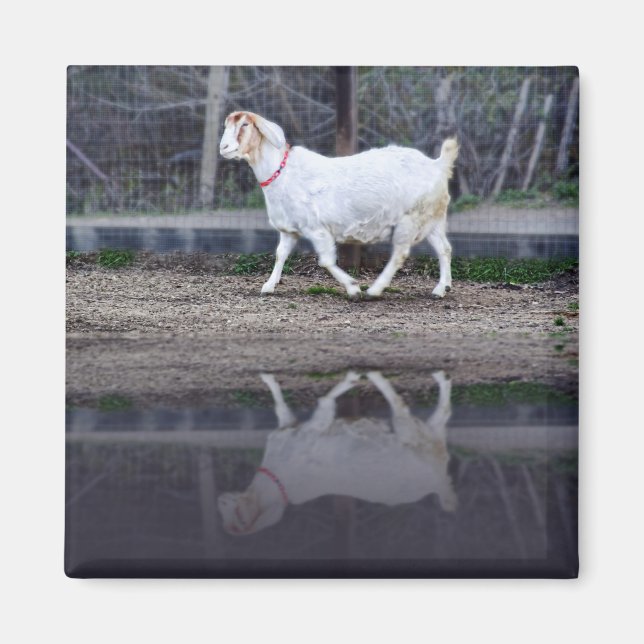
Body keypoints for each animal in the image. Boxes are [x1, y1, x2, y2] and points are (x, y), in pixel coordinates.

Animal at [217, 370, 456, 535]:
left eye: (230, 511)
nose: (219, 498)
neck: (275, 482)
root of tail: (437, 482)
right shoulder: (292, 429)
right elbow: (281, 406)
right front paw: (267, 377)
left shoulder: (310, 431)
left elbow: (323, 401)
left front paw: (351, 378)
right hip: (426, 437)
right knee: (442, 414)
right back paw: (440, 377)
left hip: (409, 431)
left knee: (400, 406)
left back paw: (376, 374)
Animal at [219, 111, 458, 299]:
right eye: (227, 125)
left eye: (245, 124)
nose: (224, 147)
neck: (283, 172)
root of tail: (437, 166)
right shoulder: (290, 229)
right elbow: (280, 253)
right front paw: (269, 286)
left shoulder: (316, 228)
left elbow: (325, 261)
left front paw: (353, 288)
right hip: (431, 219)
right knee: (444, 248)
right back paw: (441, 288)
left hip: (410, 219)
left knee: (400, 254)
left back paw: (374, 290)